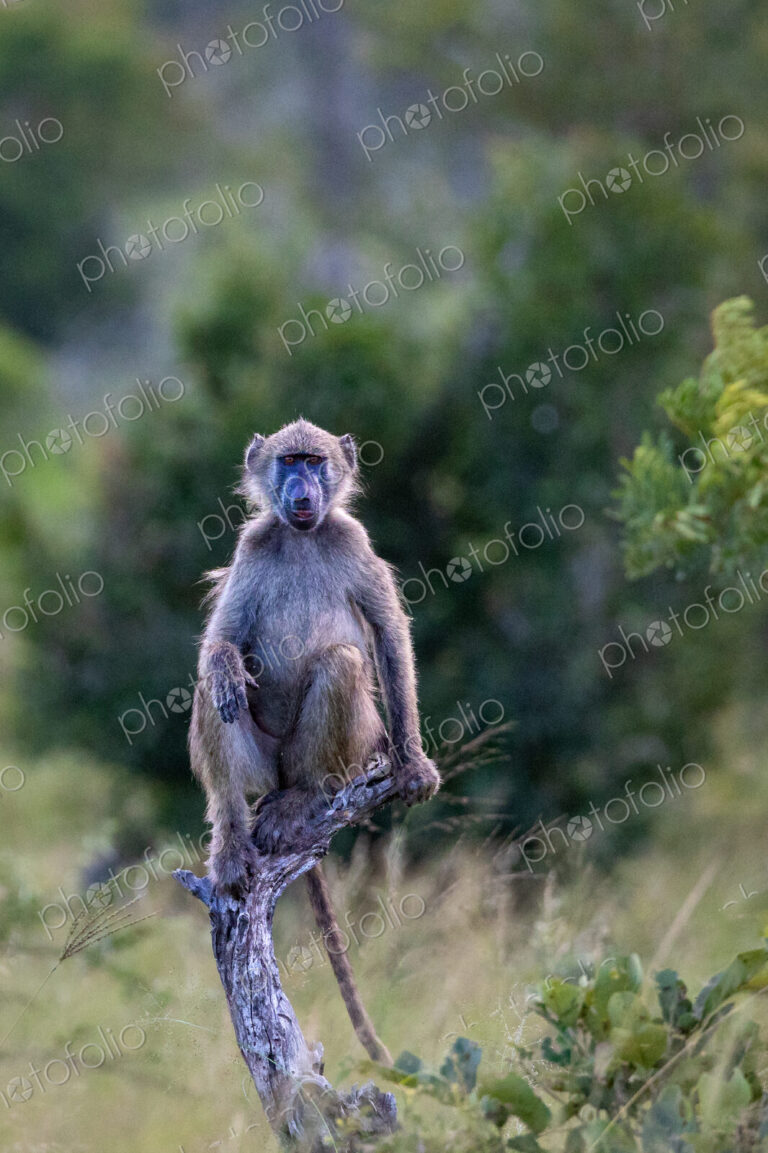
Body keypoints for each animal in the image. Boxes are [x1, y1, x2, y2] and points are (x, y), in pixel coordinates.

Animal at [188, 418, 440, 1063]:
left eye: (315, 461)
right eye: (288, 461)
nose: (301, 491)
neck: (303, 537)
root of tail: (278, 775)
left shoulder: (354, 539)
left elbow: (389, 637)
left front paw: (414, 765)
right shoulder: (252, 544)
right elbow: (220, 645)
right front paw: (226, 666)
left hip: (346, 748)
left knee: (341, 662)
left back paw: (302, 798)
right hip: (260, 761)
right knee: (213, 695)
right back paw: (232, 844)